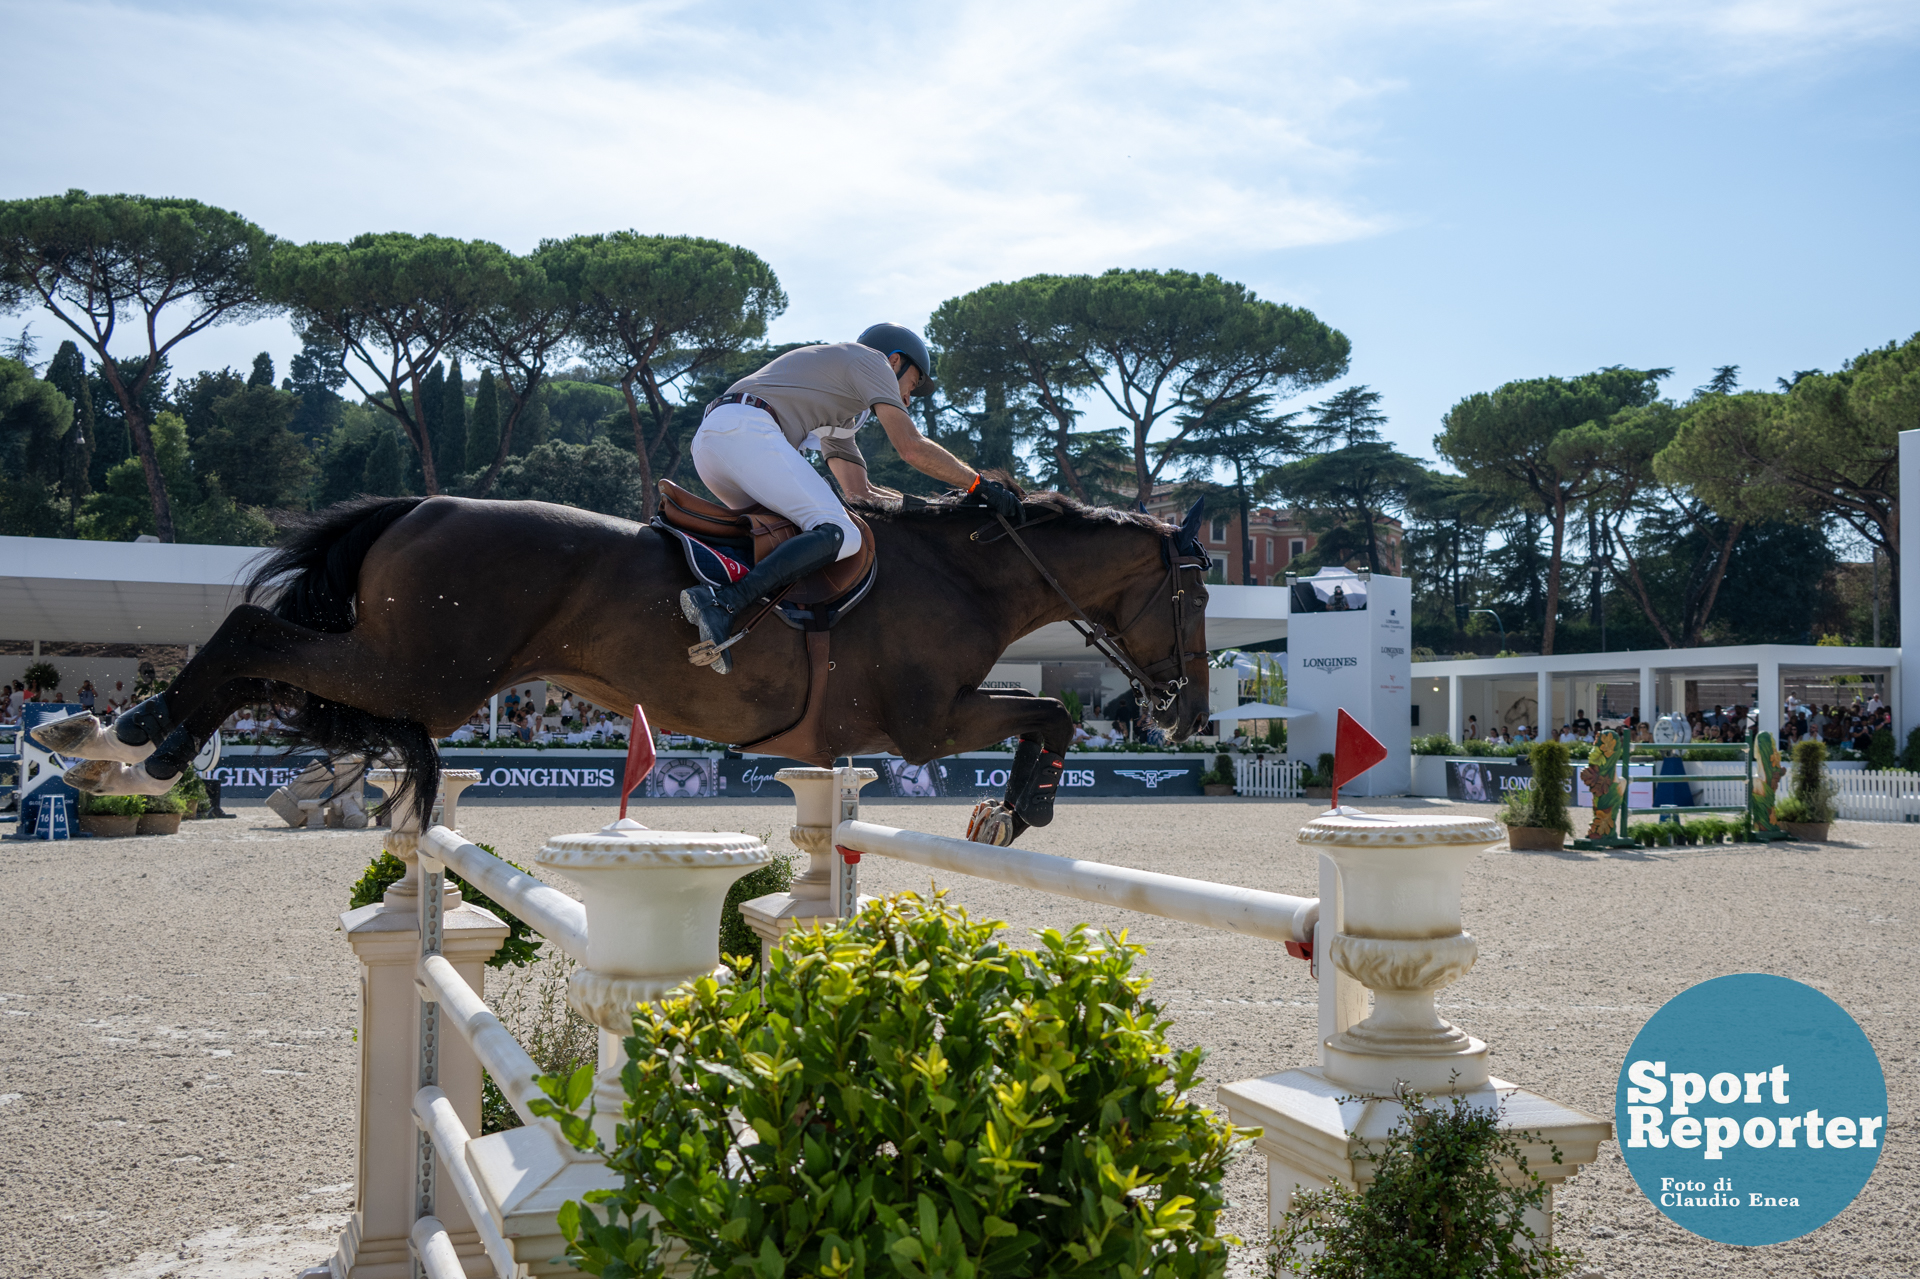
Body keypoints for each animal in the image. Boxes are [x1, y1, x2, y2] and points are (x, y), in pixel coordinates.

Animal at [37, 485, 1213, 837]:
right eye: (1196, 599)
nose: (1187, 716)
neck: (966, 573)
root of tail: (419, 504)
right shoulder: (928, 720)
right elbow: (1048, 716)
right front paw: (1021, 809)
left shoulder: (923, 724)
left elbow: (1041, 717)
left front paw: (1012, 807)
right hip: (423, 674)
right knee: (251, 636)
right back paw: (128, 734)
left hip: (400, 667)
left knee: (265, 662)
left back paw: (130, 737)